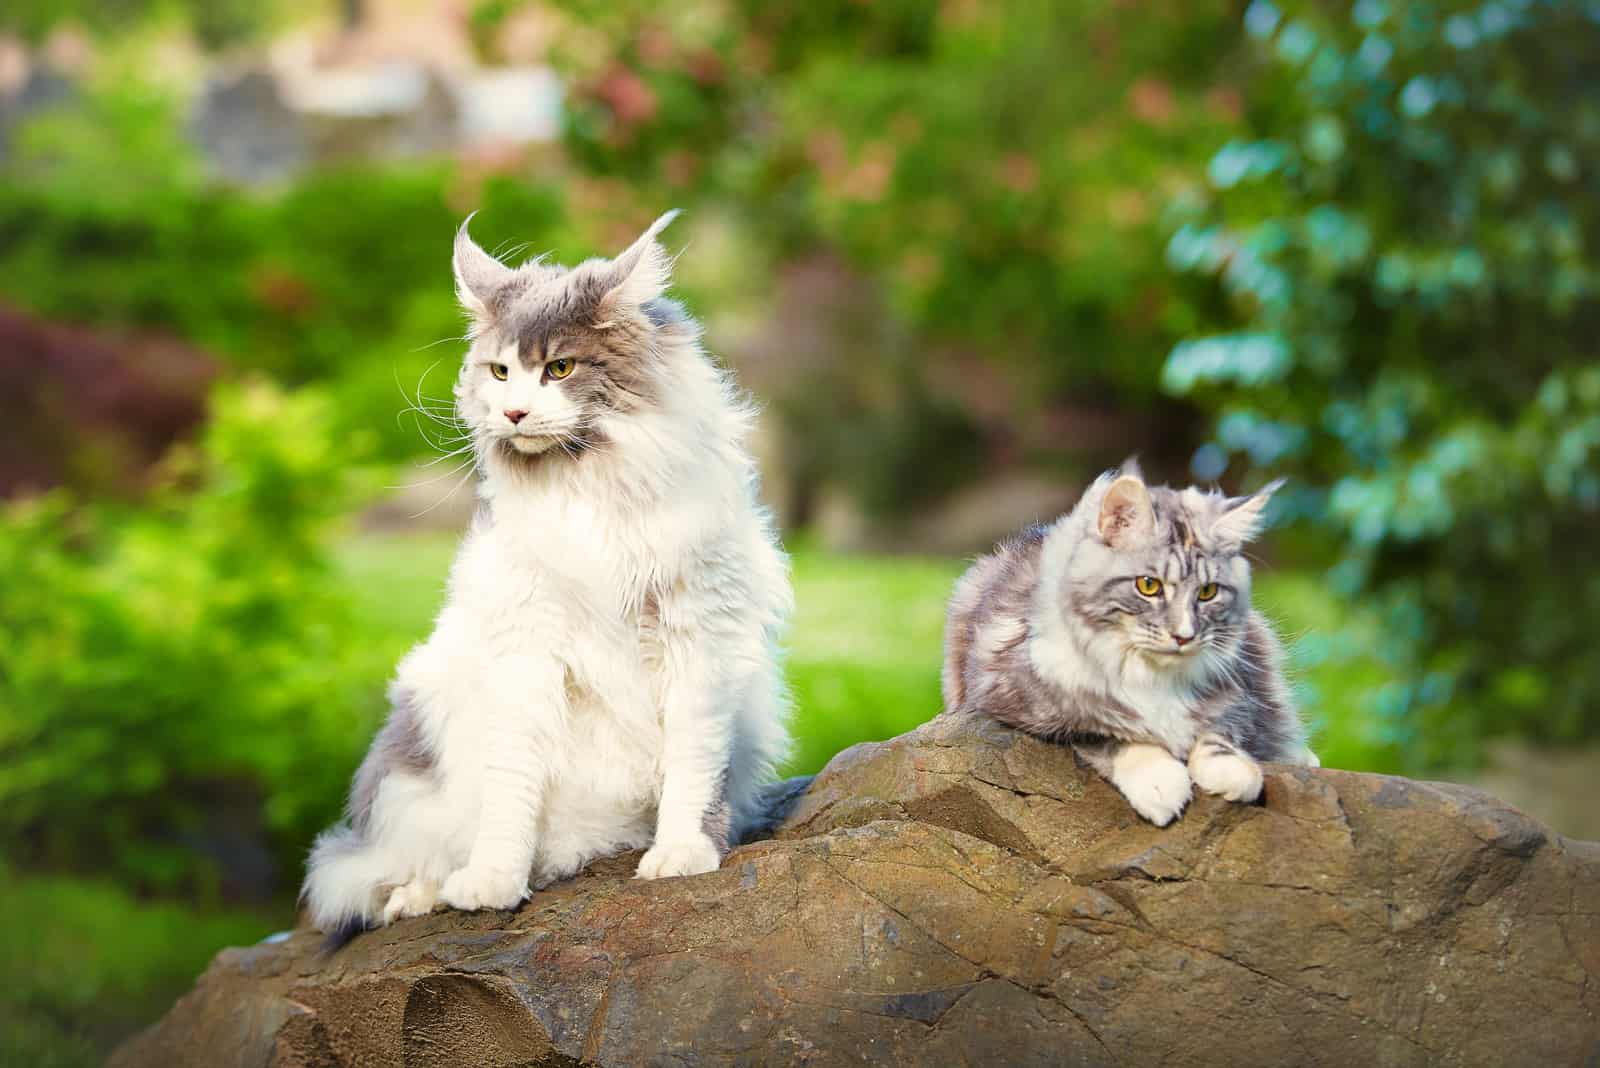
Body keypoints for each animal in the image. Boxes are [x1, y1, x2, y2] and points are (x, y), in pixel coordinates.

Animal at [300, 211, 800, 940]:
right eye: (501, 371)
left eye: (559, 368)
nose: (513, 413)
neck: (592, 486)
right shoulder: (526, 652)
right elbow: (511, 791)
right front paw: (490, 885)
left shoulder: (699, 640)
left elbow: (693, 768)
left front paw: (680, 854)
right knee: (381, 870)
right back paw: (423, 895)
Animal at [934, 460, 1312, 824]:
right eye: (1148, 585)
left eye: (1207, 592)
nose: (1183, 635)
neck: (1150, 675)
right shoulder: (1016, 693)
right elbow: (1112, 733)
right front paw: (1160, 785)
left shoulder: (1238, 690)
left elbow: (1219, 731)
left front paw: (1232, 771)